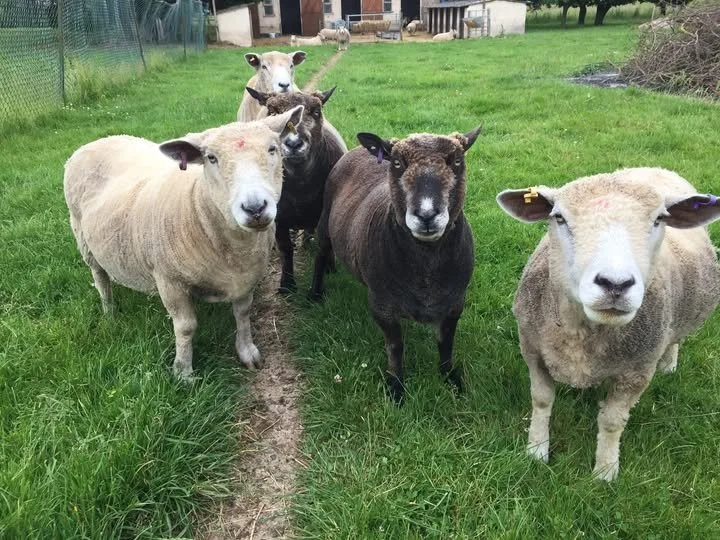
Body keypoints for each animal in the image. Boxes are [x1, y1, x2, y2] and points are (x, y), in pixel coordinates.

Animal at [64, 106, 305, 381]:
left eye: (272, 148)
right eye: (211, 158)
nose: (254, 208)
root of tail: (98, 141)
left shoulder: (247, 277)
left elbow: (243, 314)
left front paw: (247, 352)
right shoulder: (169, 281)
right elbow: (186, 327)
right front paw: (183, 373)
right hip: (84, 240)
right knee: (101, 279)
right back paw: (109, 312)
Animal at [246, 87, 348, 294]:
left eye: (316, 111)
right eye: (272, 111)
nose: (293, 144)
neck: (301, 187)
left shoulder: (326, 214)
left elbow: (324, 248)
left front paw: (324, 276)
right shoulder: (279, 217)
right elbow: (285, 248)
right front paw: (287, 285)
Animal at [309, 127, 482, 402]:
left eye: (457, 161)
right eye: (398, 163)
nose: (426, 215)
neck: (426, 272)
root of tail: (361, 150)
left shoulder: (455, 303)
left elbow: (446, 343)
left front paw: (451, 379)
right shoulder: (381, 306)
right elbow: (395, 346)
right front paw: (396, 388)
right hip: (325, 220)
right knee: (320, 254)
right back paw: (315, 293)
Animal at [496, 167, 720, 481]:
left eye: (659, 219)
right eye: (559, 217)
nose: (615, 284)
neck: (581, 333)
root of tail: (652, 168)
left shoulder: (638, 371)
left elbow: (613, 421)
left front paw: (604, 472)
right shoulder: (533, 350)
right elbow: (541, 400)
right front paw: (536, 451)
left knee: (675, 338)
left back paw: (669, 364)